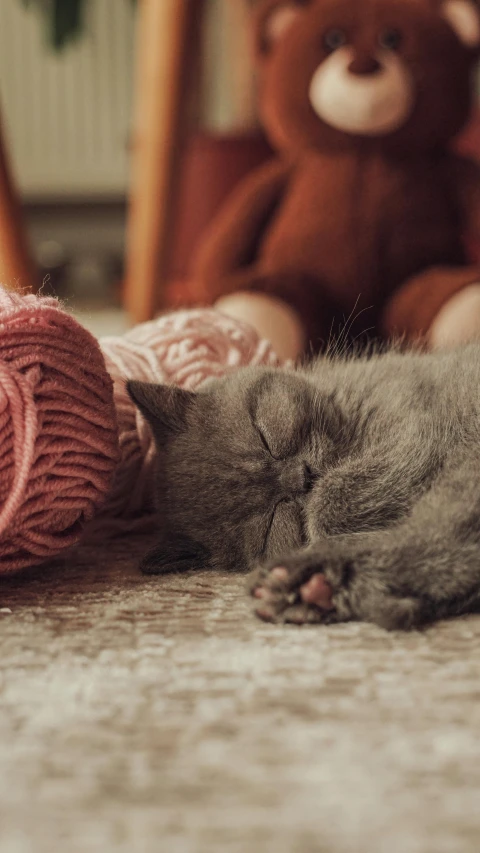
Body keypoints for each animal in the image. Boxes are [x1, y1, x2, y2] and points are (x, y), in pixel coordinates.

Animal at [127, 342, 480, 628]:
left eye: (265, 436)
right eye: (272, 520)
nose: (303, 477)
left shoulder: (412, 428)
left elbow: (331, 501)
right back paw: (313, 587)